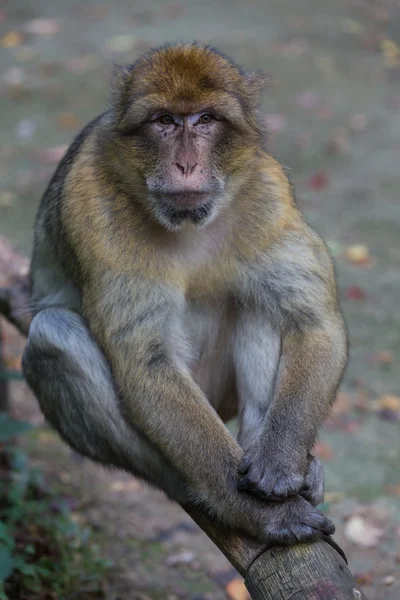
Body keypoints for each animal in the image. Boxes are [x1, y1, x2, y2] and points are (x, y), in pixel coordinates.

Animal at [21, 42, 346, 548]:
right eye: (165, 121)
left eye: (206, 119)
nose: (187, 165)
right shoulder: (93, 208)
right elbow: (146, 362)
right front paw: (259, 513)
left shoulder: (268, 194)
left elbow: (313, 321)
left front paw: (279, 461)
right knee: (53, 335)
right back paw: (198, 491)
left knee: (263, 303)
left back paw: (271, 450)